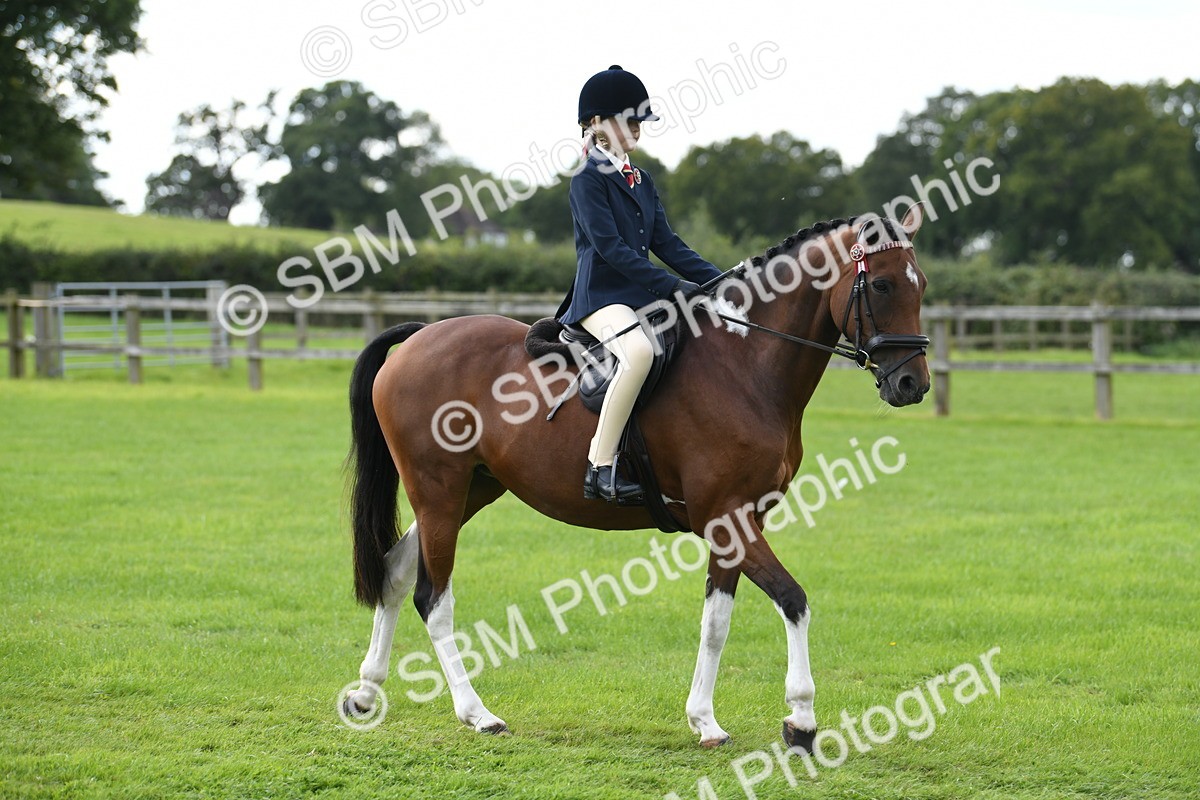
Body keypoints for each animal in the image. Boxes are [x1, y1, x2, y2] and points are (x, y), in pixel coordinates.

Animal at [342, 205, 931, 750]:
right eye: (881, 284)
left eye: (921, 284)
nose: (912, 384)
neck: (745, 366)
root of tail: (421, 335)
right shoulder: (726, 516)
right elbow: (793, 599)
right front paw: (801, 721)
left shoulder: (738, 523)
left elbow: (716, 621)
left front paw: (705, 721)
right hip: (438, 491)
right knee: (433, 598)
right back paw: (477, 713)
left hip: (470, 490)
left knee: (394, 571)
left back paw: (367, 692)